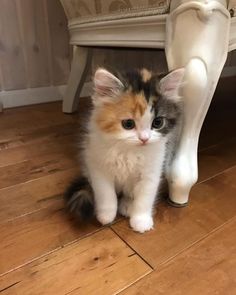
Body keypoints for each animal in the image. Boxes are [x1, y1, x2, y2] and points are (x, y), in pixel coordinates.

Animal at [64, 67, 184, 234]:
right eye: (128, 124)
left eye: (158, 122)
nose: (144, 139)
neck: (129, 151)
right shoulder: (98, 165)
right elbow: (106, 194)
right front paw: (106, 215)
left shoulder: (152, 171)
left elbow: (145, 198)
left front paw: (141, 220)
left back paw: (128, 205)